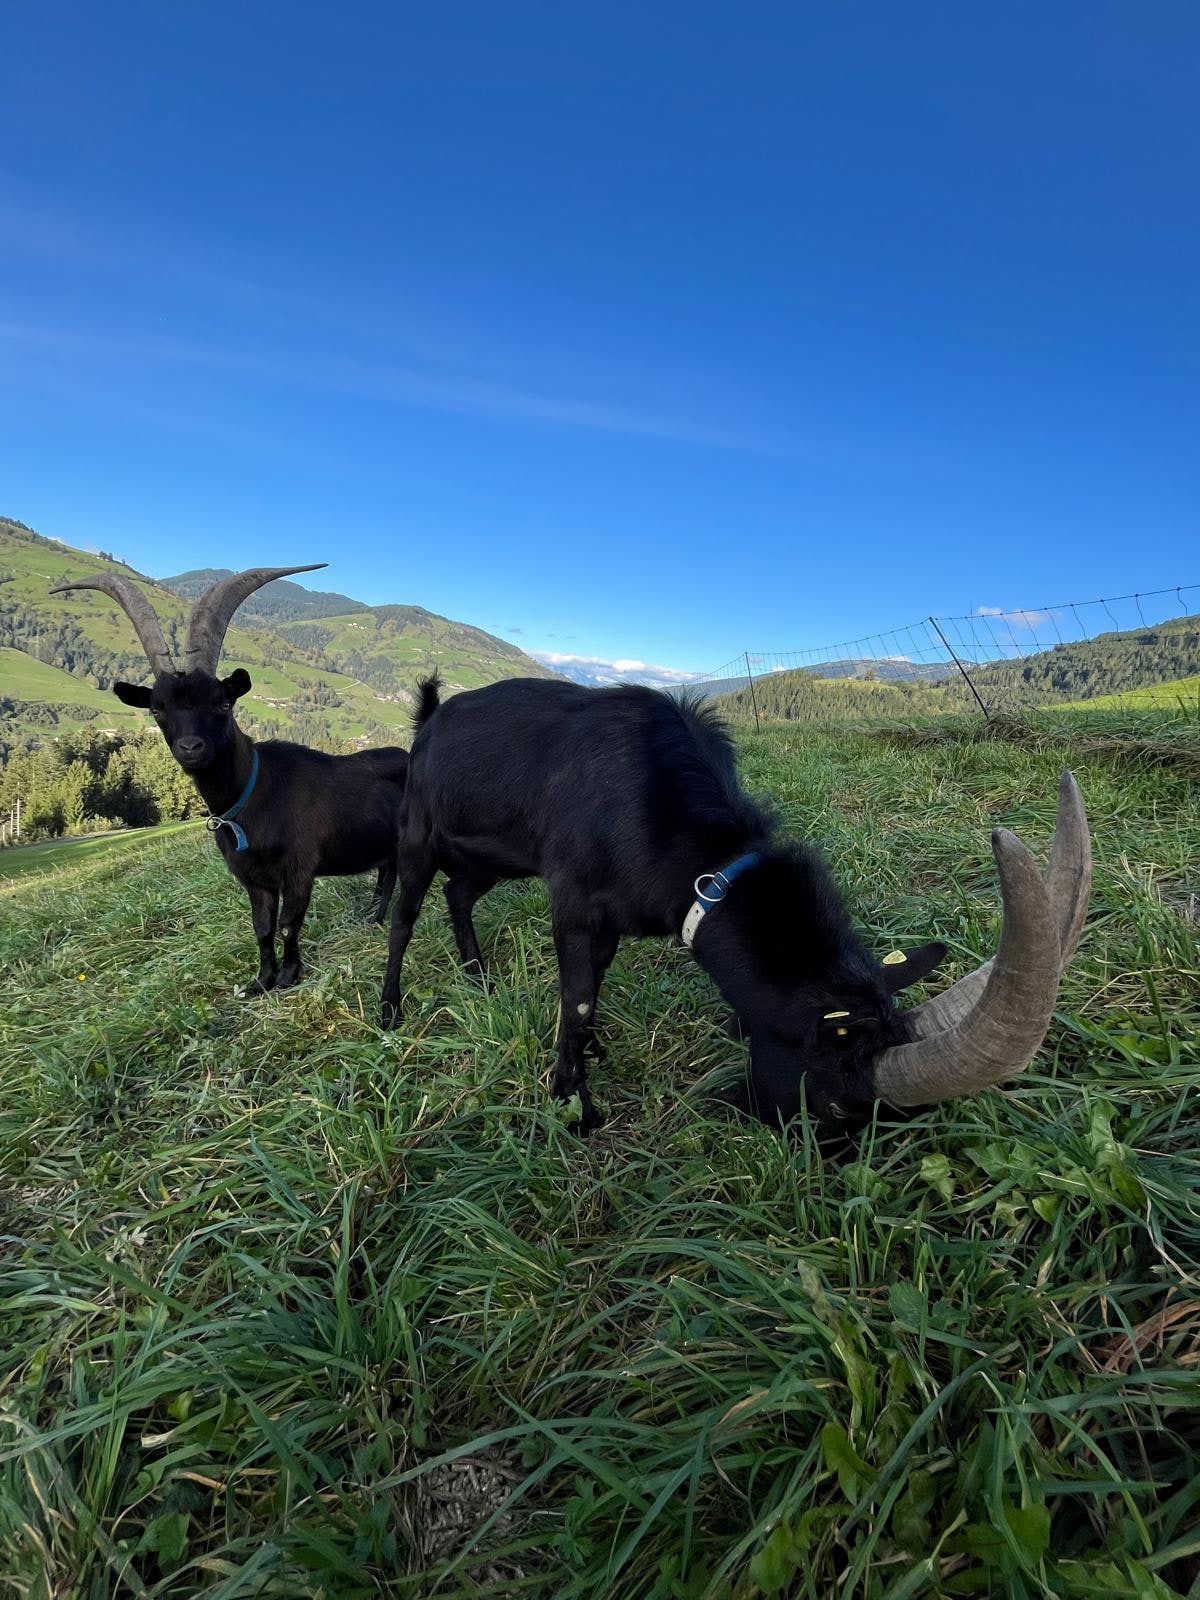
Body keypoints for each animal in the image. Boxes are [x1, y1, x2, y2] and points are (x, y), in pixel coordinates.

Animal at [51, 565, 409, 993]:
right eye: (157, 709)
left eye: (223, 703)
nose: (190, 747)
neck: (252, 797)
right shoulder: (253, 879)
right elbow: (262, 928)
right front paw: (262, 980)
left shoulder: (299, 869)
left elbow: (288, 925)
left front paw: (288, 976)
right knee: (385, 873)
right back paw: (373, 917)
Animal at [381, 675, 1090, 1137]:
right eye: (838, 1106)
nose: (822, 1154)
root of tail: (431, 717)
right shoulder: (576, 904)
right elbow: (577, 1002)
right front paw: (574, 1105)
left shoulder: (614, 919)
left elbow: (590, 994)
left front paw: (590, 1059)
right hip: (418, 831)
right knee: (405, 915)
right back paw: (391, 1011)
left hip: (490, 855)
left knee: (458, 891)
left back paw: (476, 974)